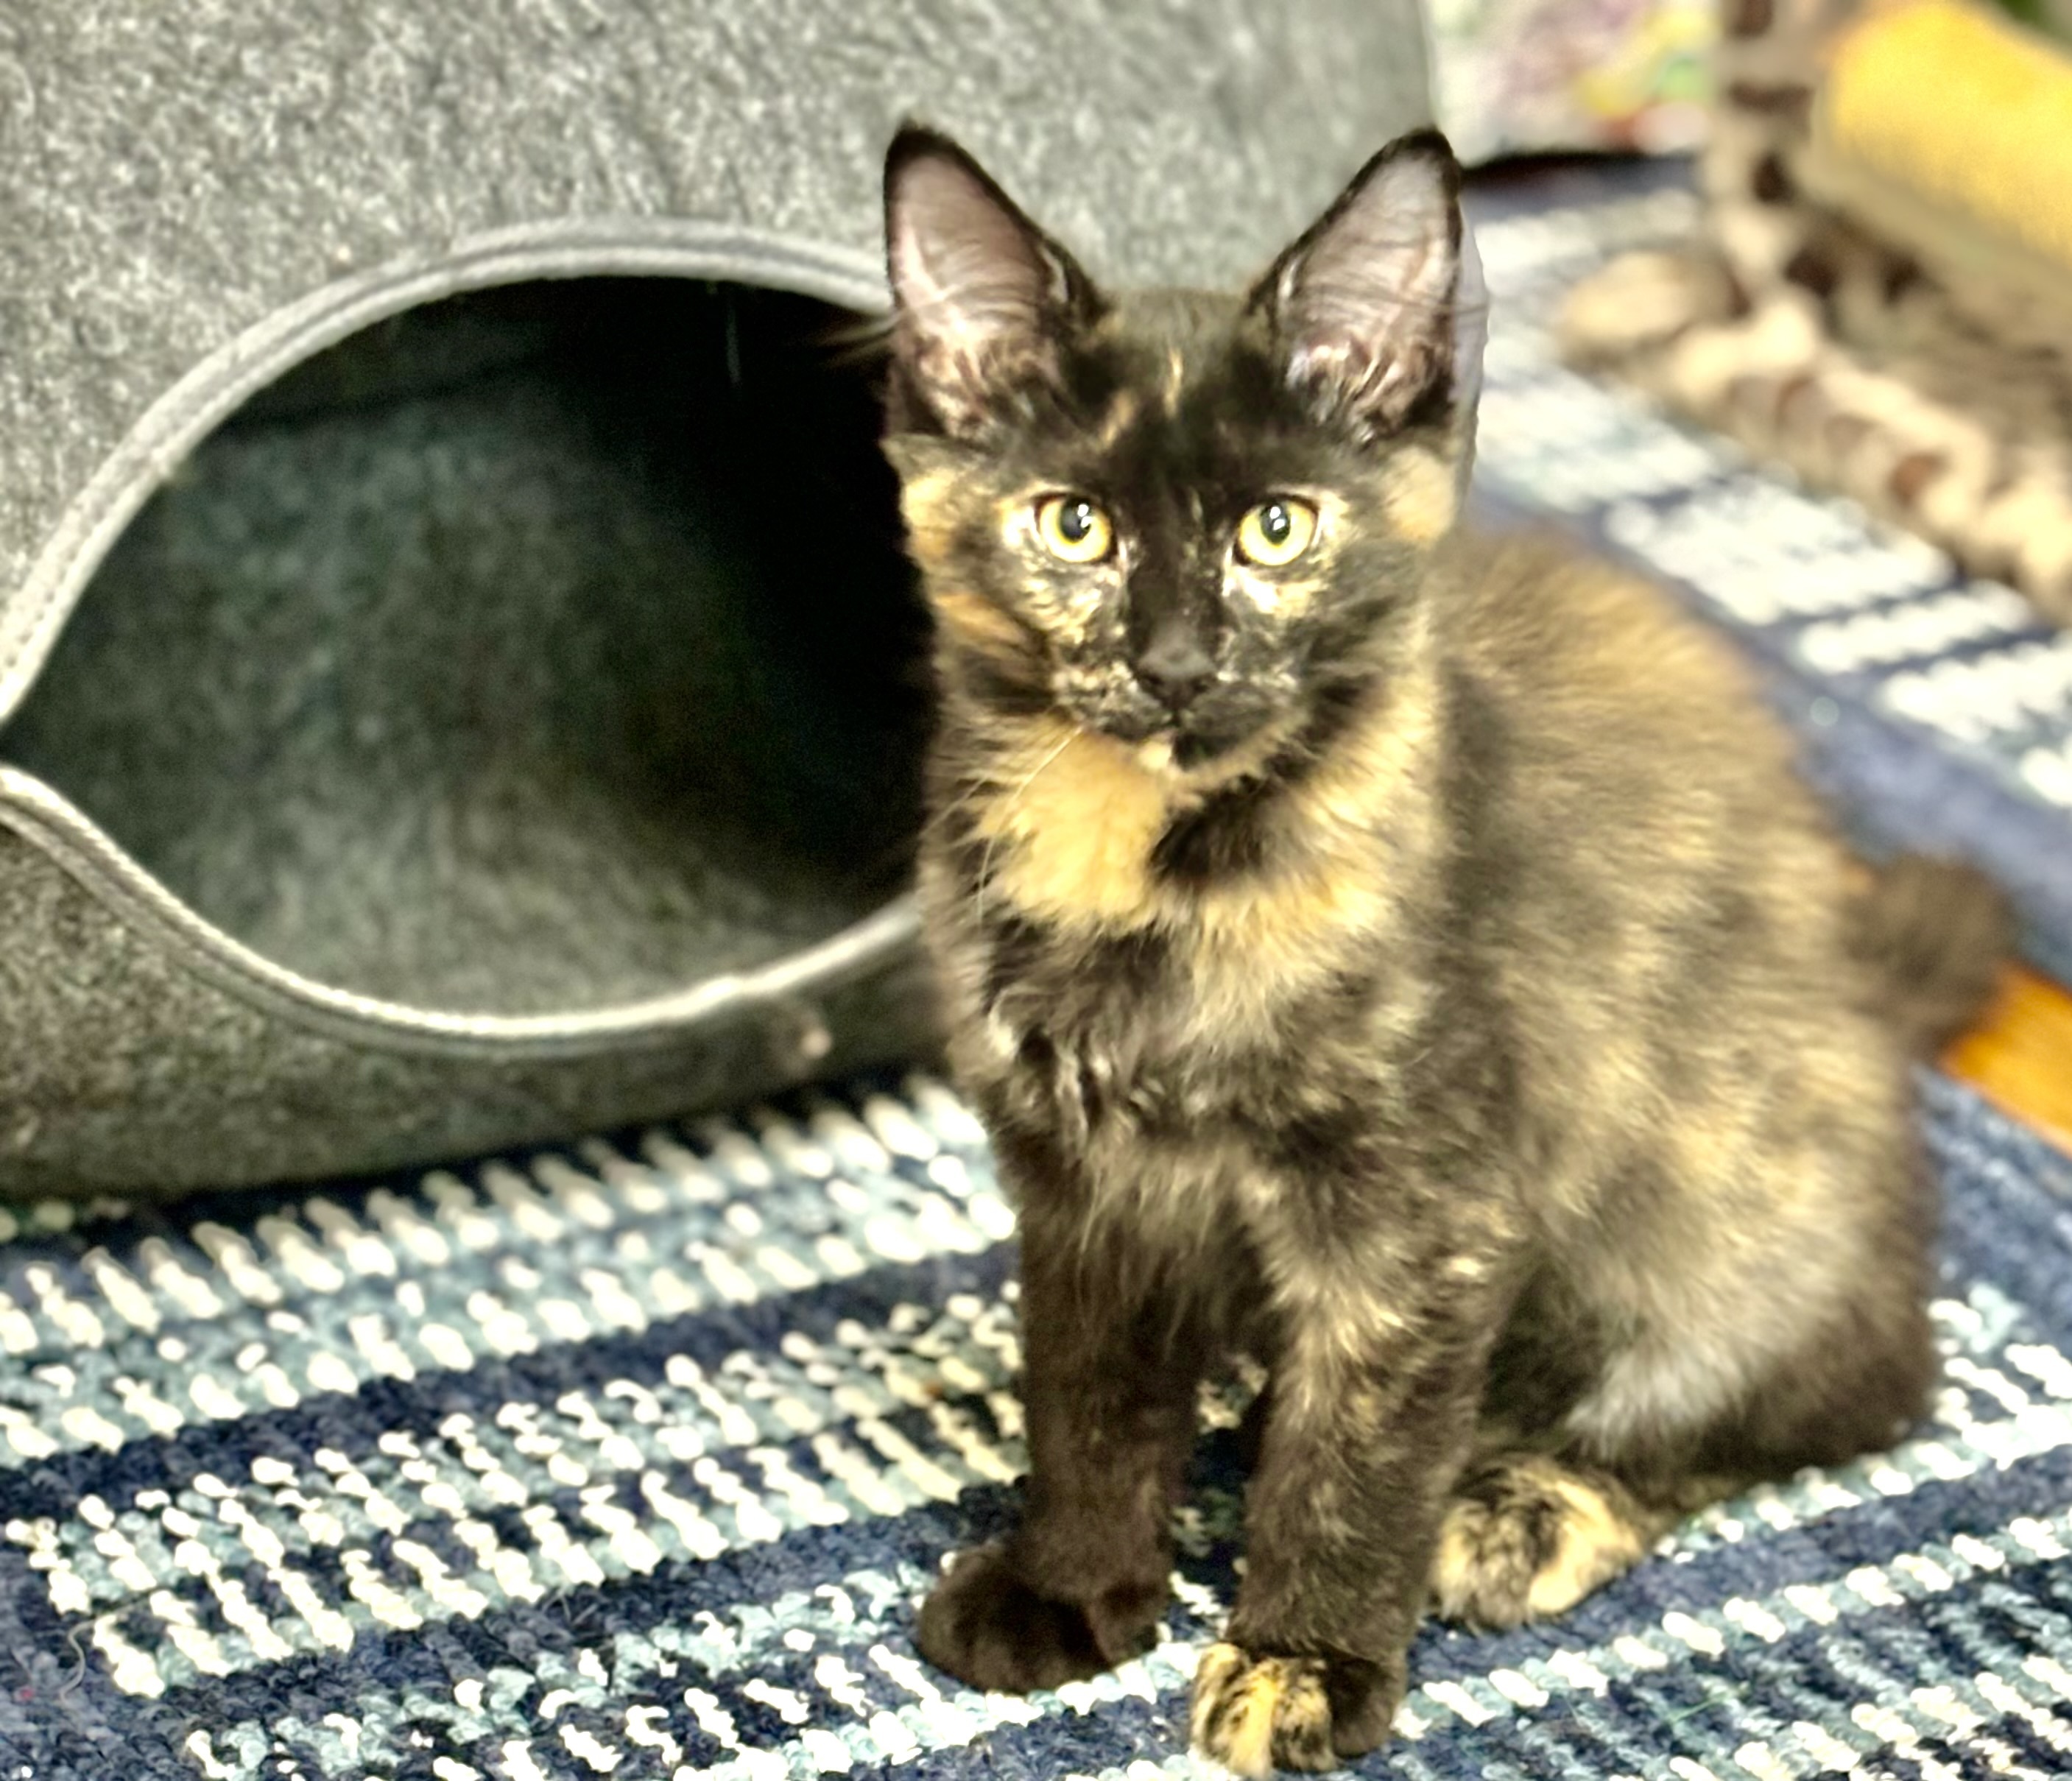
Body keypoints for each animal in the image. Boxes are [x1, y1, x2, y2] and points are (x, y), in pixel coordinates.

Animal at [874, 121, 2005, 1764]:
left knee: (1830, 1395)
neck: (1149, 874)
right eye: (1074, 524)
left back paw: (1520, 1511)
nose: (1175, 662)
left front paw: (1300, 1658)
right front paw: (1076, 1586)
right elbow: (1082, 1401)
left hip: (1716, 1220)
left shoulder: (1422, 1216)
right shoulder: (1082, 1189)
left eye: (1277, 528)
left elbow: (1357, 1457)